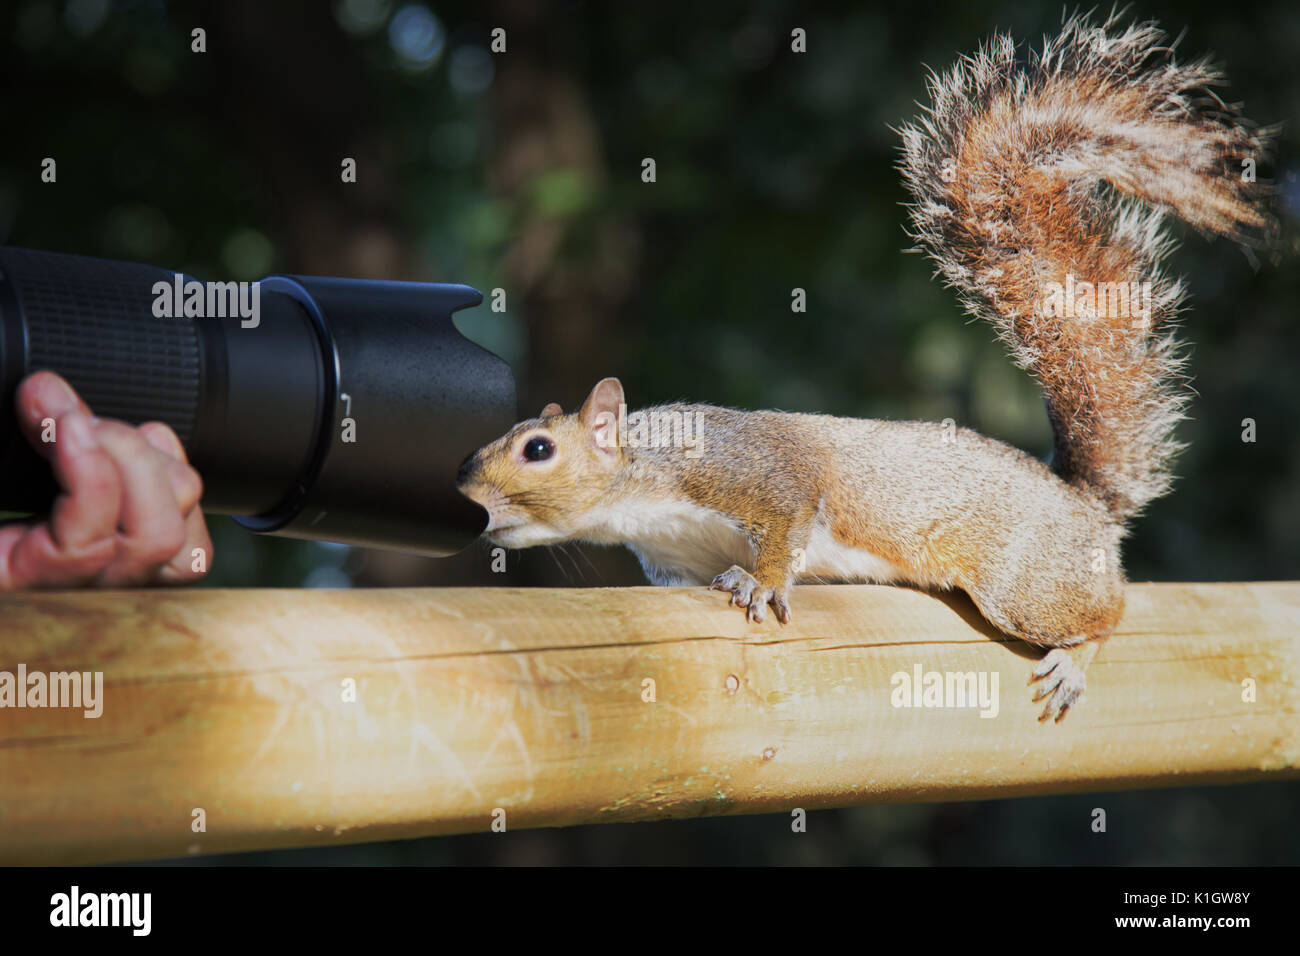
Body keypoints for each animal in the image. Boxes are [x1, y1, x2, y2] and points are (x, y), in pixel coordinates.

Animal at [454, 14, 1268, 723]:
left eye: (537, 449)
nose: (469, 502)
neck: (639, 485)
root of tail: (1084, 505)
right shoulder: (668, 560)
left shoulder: (750, 471)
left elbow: (783, 522)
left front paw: (758, 581)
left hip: (1025, 583)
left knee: (1109, 612)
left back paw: (1075, 656)